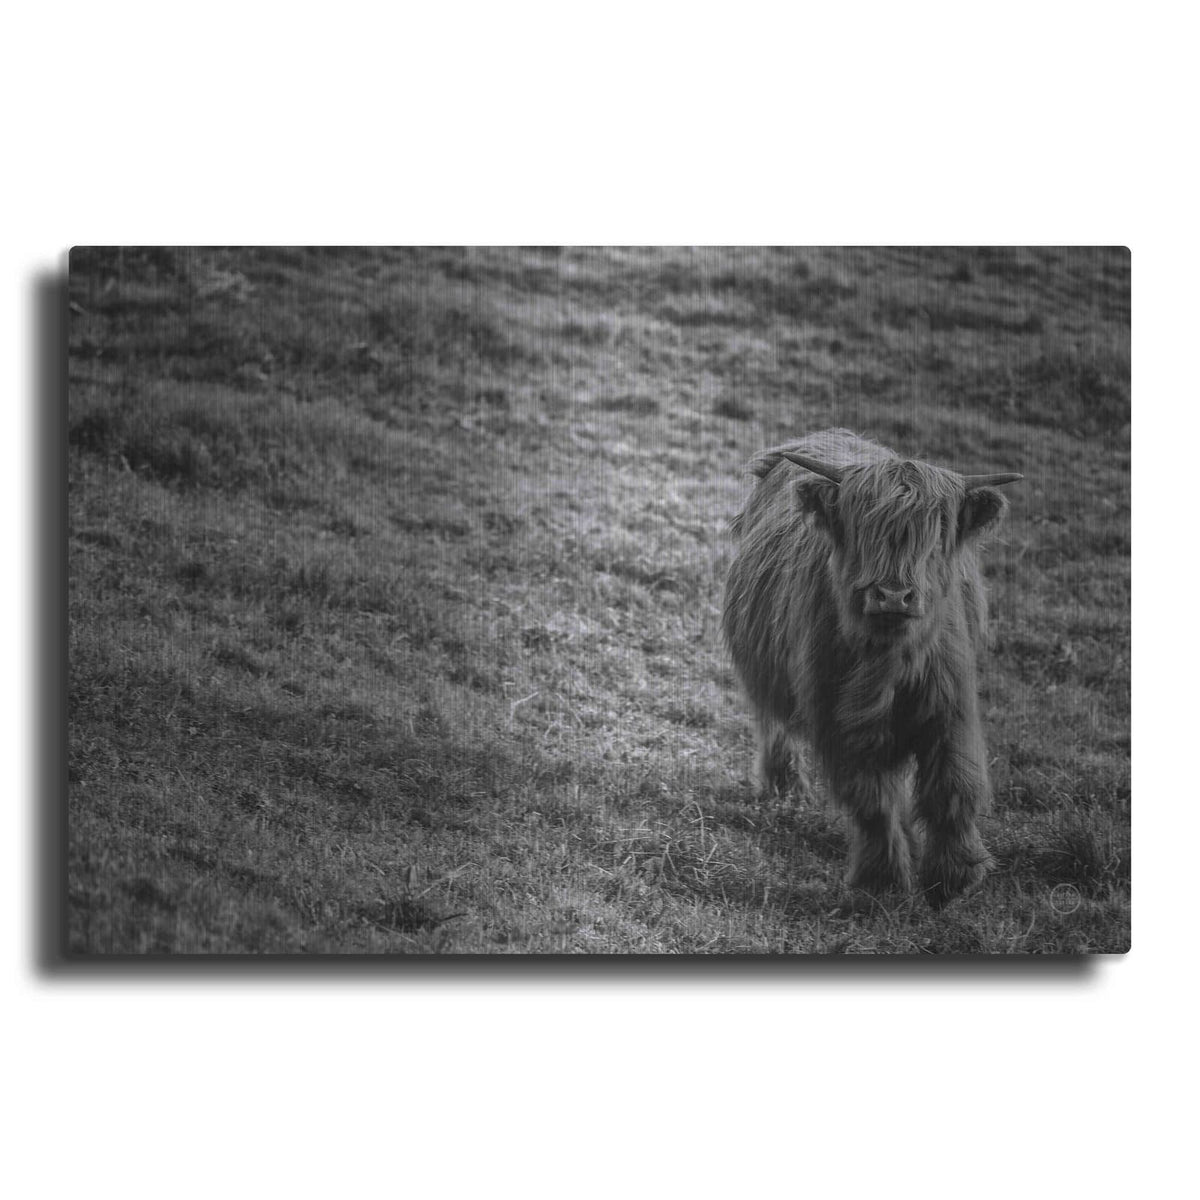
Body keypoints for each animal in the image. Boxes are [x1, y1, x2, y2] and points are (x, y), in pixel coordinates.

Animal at [722, 429, 1022, 907]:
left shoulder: (951, 708)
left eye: (937, 530)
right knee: (773, 722)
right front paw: (883, 880)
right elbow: (872, 800)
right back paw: (784, 788)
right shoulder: (838, 720)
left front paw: (954, 877)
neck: (889, 660)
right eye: (862, 525)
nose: (893, 595)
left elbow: (953, 787)